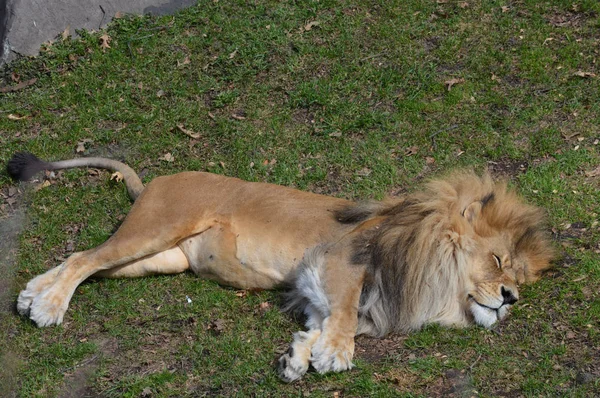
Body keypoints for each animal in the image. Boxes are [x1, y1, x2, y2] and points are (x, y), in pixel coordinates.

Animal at [8, 151, 552, 380]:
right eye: (498, 260)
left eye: (519, 277)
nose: (511, 298)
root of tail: (155, 181)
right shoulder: (340, 256)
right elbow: (345, 315)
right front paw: (334, 356)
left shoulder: (317, 286)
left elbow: (323, 320)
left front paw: (298, 357)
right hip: (157, 229)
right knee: (86, 258)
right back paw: (48, 308)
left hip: (156, 259)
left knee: (83, 260)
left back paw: (32, 295)